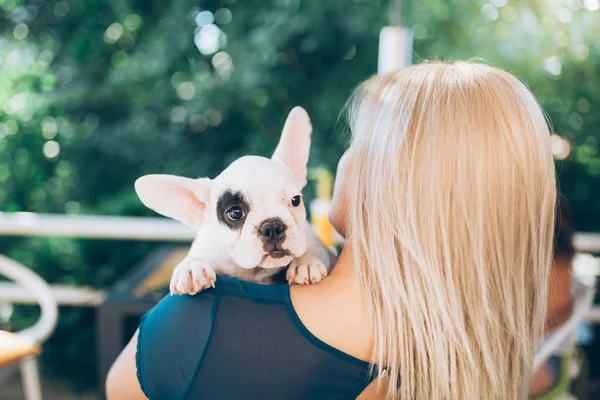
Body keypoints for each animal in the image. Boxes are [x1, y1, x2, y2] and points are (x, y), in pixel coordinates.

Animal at [133, 108, 336, 296]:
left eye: (295, 201)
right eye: (235, 213)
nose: (272, 227)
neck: (255, 271)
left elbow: (313, 248)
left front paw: (306, 262)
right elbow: (194, 255)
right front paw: (191, 269)